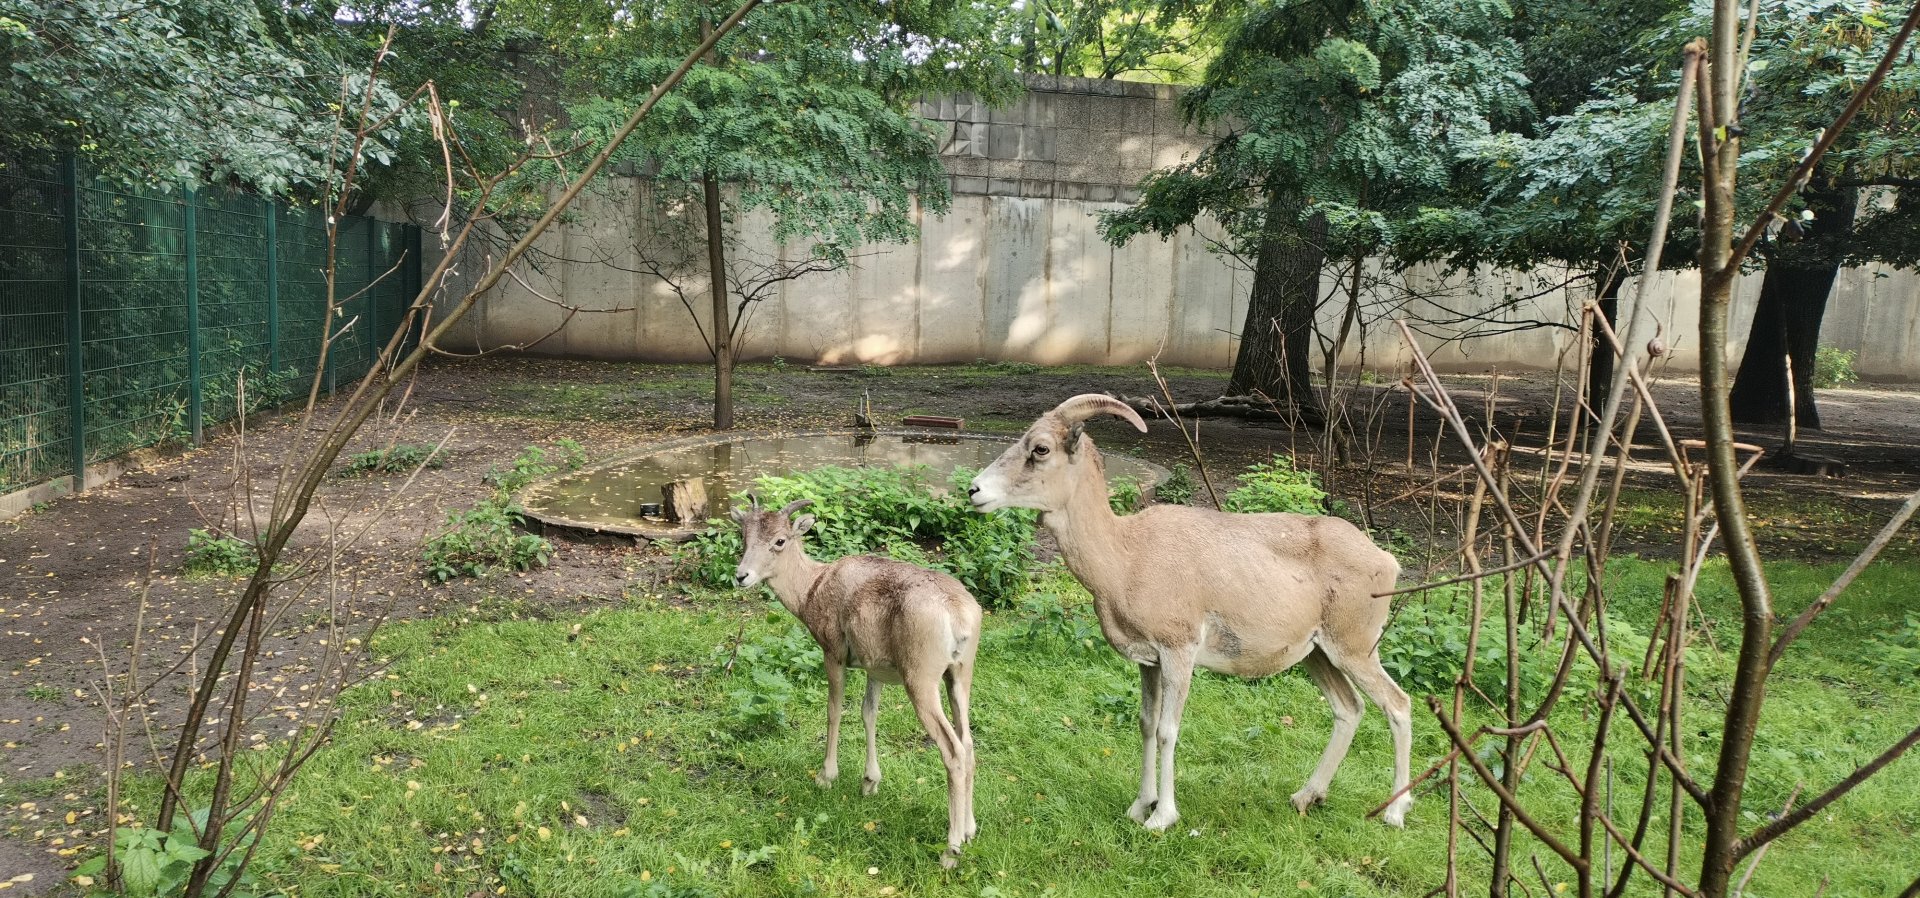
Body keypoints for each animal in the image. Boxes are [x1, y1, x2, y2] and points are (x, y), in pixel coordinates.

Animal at [731, 495, 983, 867]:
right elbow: (869, 712)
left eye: (780, 540)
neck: (812, 589)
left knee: (952, 750)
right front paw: (869, 782)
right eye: (743, 535)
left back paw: (950, 850)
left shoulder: (833, 650)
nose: (741, 576)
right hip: (960, 673)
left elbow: (834, 709)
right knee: (967, 742)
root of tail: (960, 617)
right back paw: (969, 829)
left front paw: (826, 776)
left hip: (921, 677)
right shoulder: (874, 667)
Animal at [966, 394, 1412, 832]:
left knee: (1398, 704)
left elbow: (1168, 730)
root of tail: (1386, 562)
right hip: (1318, 654)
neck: (1126, 556)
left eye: (1040, 448)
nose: (974, 490)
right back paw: (1306, 797)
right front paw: (1139, 806)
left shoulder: (1179, 651)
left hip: (1355, 648)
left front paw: (1161, 817)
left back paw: (1393, 813)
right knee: (1349, 709)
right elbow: (1146, 723)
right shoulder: (1148, 661)